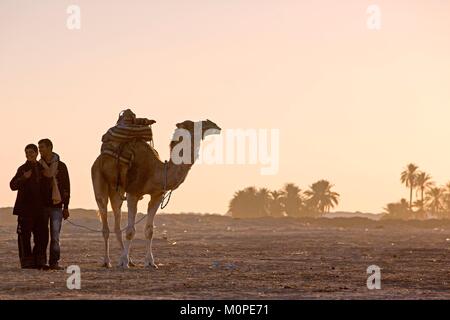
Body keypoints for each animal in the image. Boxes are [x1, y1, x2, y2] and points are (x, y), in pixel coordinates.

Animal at [90, 119, 221, 268]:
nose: (213, 124)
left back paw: (129, 259)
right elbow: (130, 231)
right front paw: (124, 262)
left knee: (117, 224)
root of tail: (99, 158)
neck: (155, 171)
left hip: (117, 191)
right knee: (105, 222)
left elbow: (149, 230)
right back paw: (108, 261)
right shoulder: (133, 193)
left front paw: (150, 262)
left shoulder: (157, 195)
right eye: (193, 125)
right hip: (99, 180)